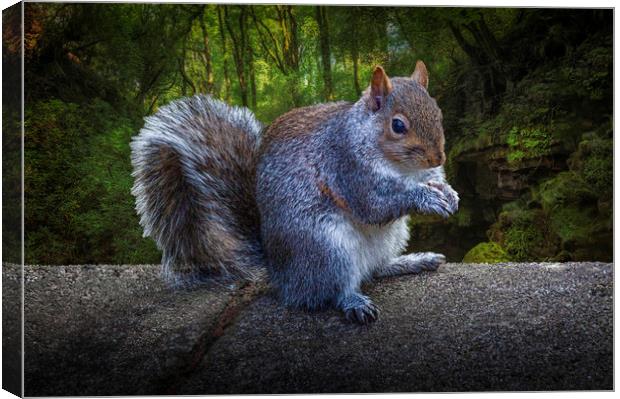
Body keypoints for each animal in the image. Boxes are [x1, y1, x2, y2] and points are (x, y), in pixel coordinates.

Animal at [131, 61, 458, 324]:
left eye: (438, 113)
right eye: (398, 125)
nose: (437, 158)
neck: (401, 168)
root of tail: (280, 275)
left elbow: (430, 181)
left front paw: (449, 193)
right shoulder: (346, 168)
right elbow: (374, 204)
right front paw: (425, 198)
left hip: (391, 236)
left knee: (376, 269)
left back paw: (411, 261)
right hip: (326, 248)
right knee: (332, 290)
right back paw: (354, 301)